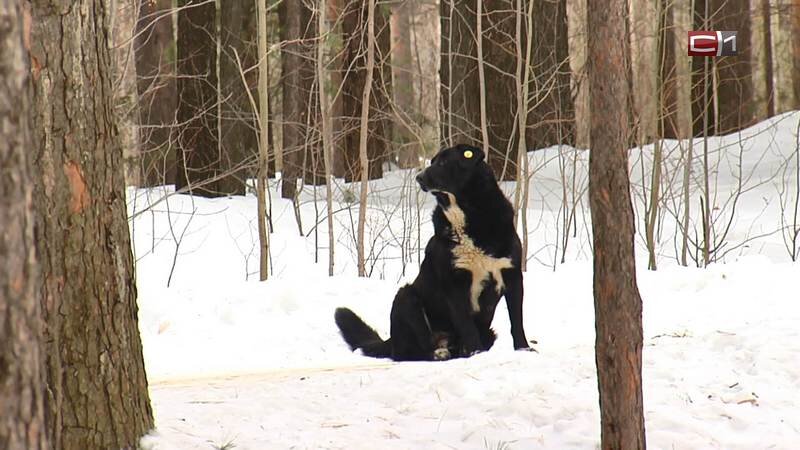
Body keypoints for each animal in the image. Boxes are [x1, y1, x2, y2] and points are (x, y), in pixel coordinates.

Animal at [334, 144, 536, 362]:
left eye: (443, 162)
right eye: (432, 161)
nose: (419, 177)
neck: (467, 217)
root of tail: (390, 341)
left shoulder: (512, 275)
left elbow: (517, 321)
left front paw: (524, 349)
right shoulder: (454, 283)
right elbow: (467, 325)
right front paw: (477, 354)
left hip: (488, 331)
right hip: (406, 298)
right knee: (409, 352)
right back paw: (438, 353)